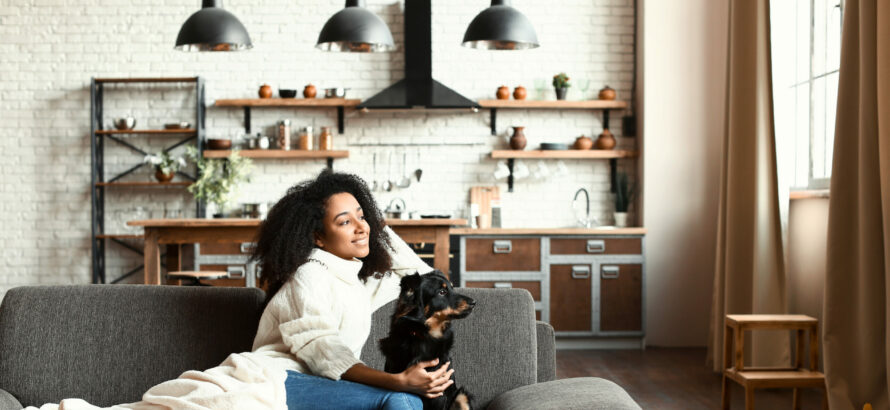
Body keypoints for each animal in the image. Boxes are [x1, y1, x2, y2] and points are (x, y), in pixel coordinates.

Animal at [378, 270, 476, 410]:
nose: (474, 302)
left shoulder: (439, 390)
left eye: (452, 287)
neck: (423, 334)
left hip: (461, 396)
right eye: (442, 292)